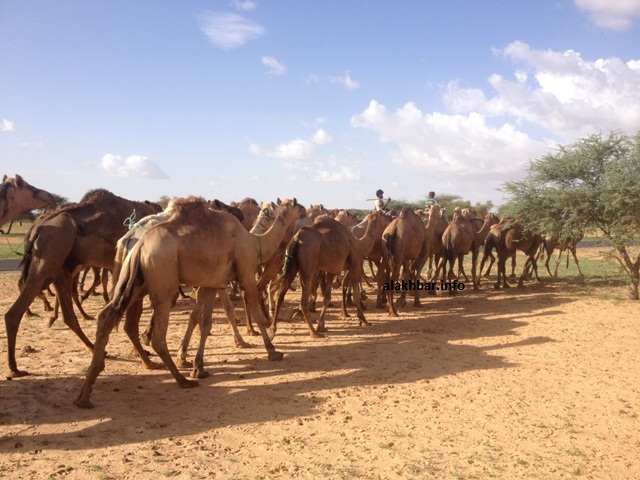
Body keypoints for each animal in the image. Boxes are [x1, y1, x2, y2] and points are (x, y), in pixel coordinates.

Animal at [4, 189, 161, 378]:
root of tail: (35, 228)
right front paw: (145, 352)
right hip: (48, 259)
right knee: (16, 311)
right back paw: (15, 369)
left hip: (59, 267)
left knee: (68, 315)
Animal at [74, 197, 305, 408]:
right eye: (295, 203)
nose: (304, 209)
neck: (252, 242)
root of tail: (137, 244)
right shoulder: (246, 274)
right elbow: (253, 313)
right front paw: (272, 350)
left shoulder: (212, 282)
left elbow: (205, 323)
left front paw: (198, 367)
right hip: (162, 279)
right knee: (158, 336)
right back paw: (181, 379)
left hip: (134, 280)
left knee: (107, 316)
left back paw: (85, 393)